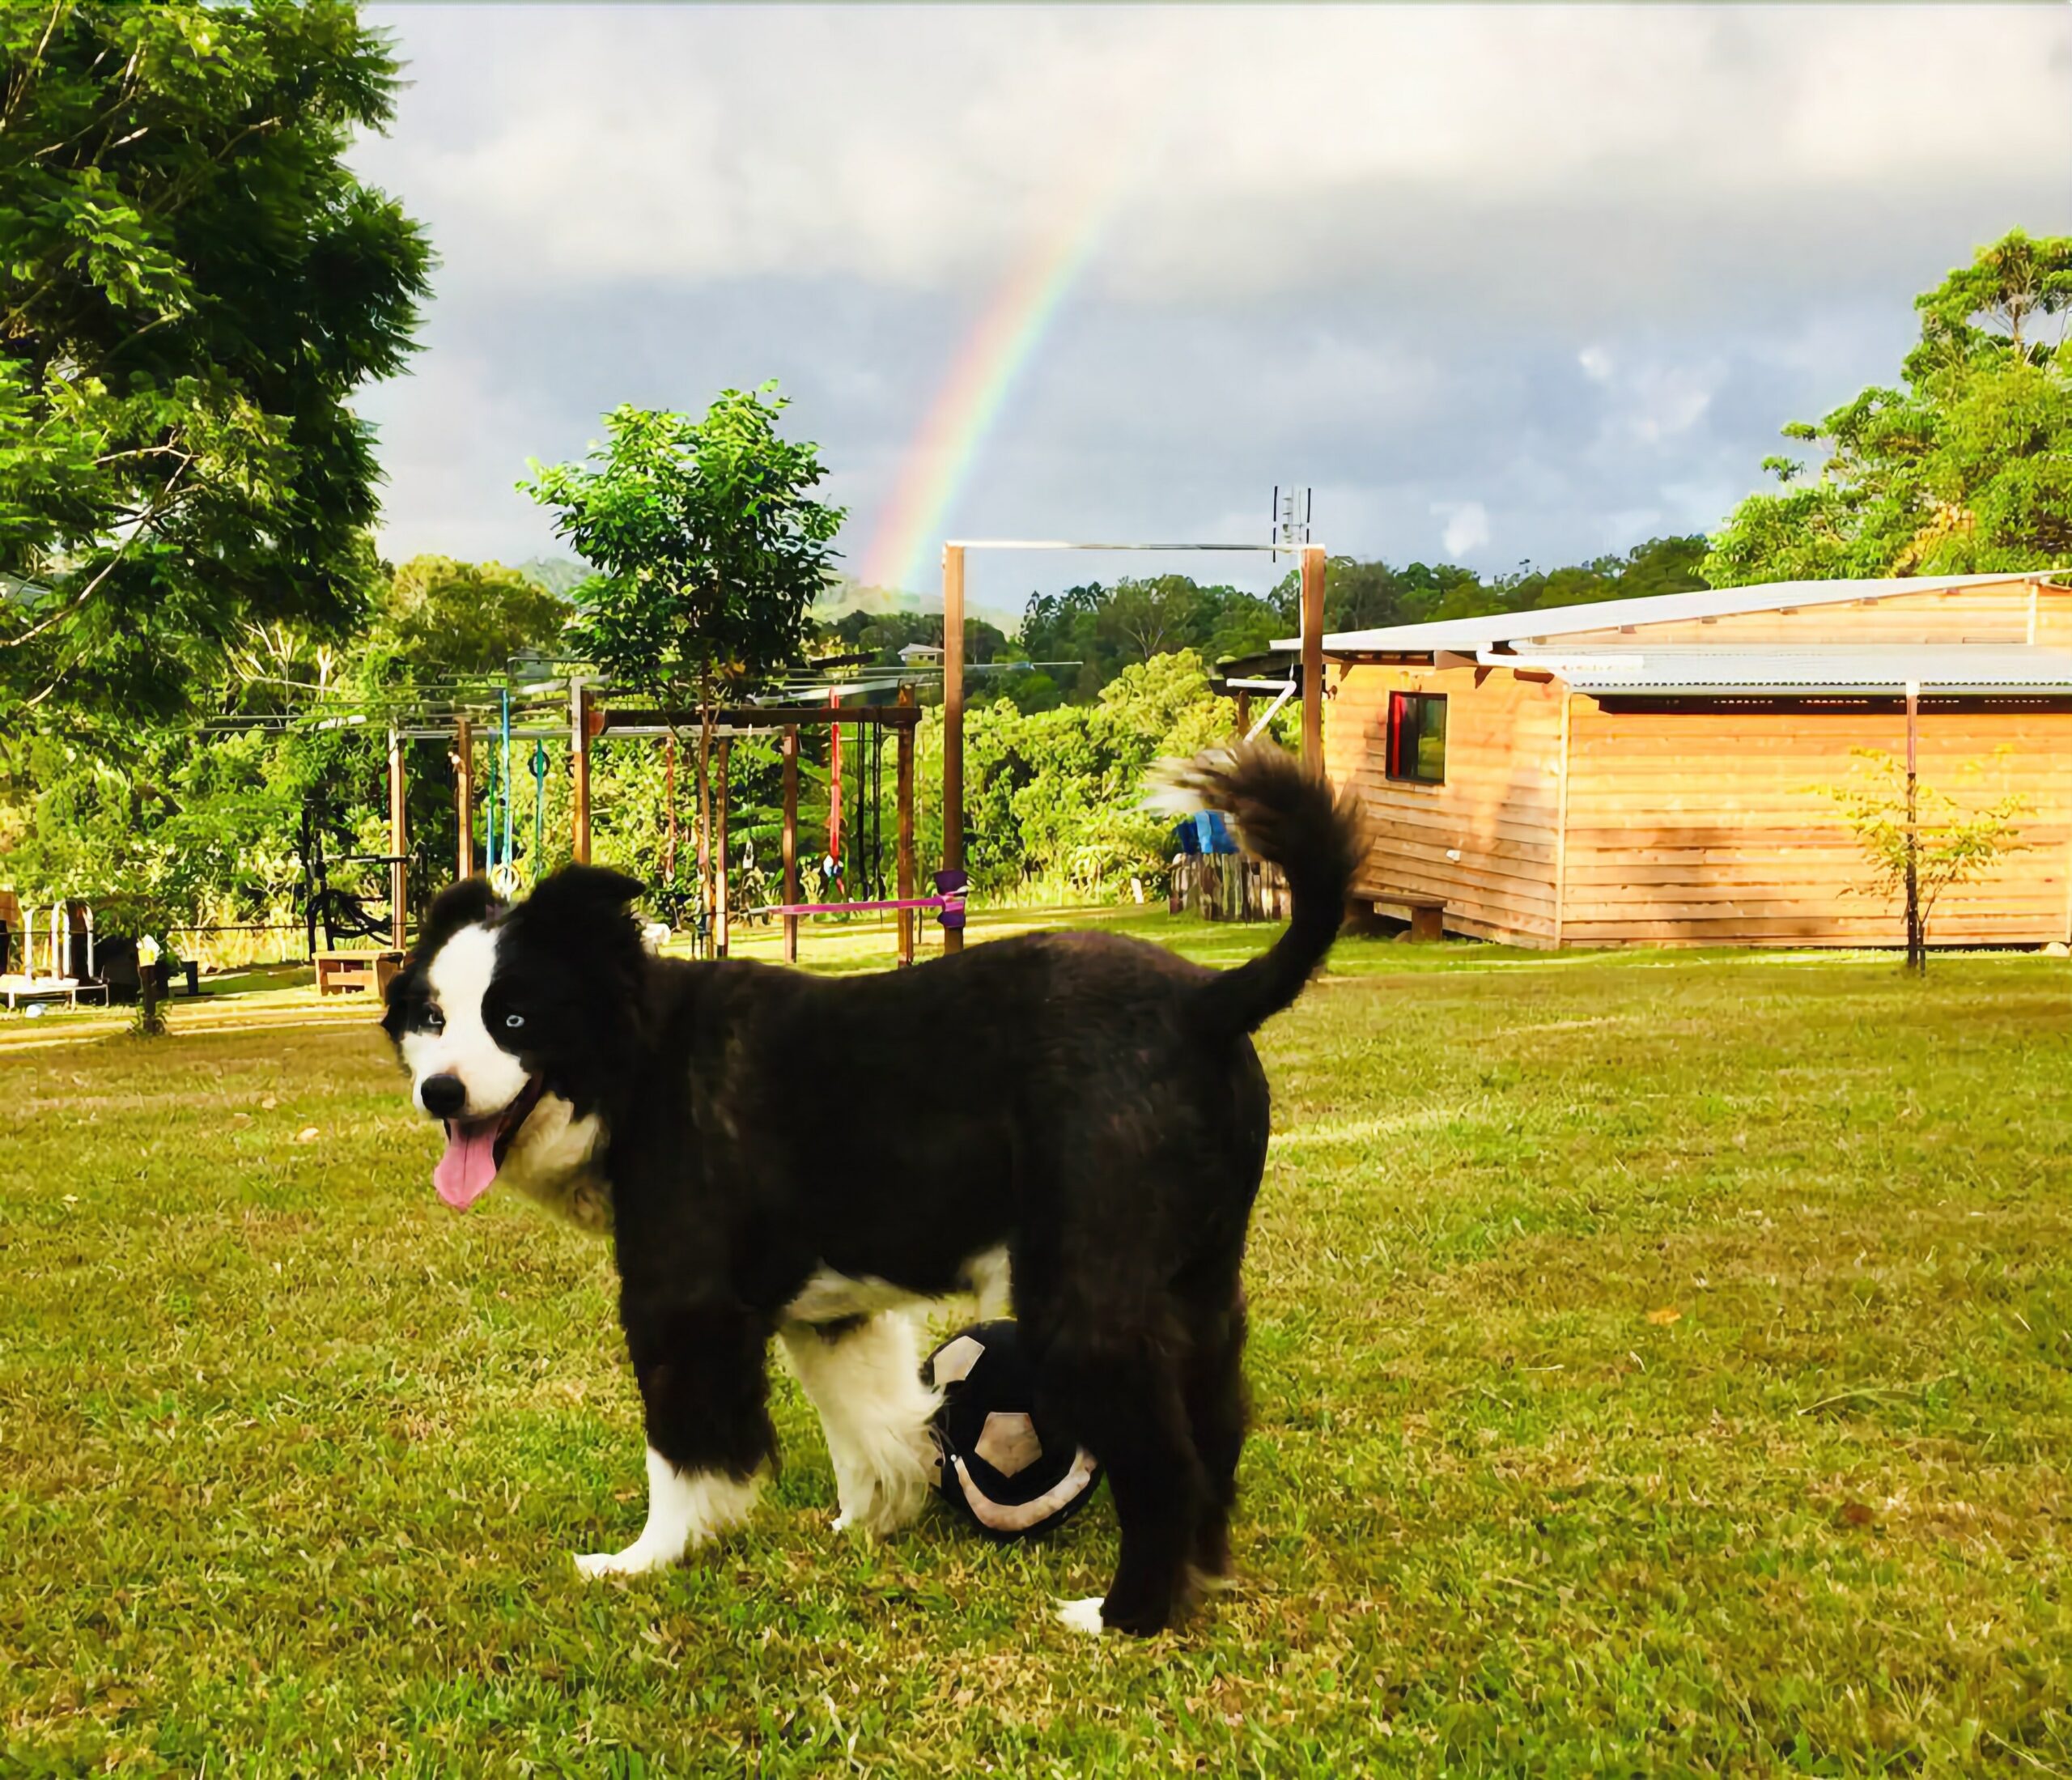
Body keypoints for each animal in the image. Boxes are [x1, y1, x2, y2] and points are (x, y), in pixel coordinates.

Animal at [383, 746, 1367, 1633]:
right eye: (430, 1018)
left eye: (513, 1019)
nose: (442, 1094)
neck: (639, 1058)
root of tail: (1210, 1000)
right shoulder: (832, 1316)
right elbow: (873, 1425)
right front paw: (867, 1522)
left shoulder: (681, 1306)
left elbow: (684, 1456)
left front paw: (649, 1558)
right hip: (1198, 1289)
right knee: (1215, 1433)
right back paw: (1199, 1580)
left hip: (1082, 1306)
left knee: (1165, 1461)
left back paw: (1126, 1615)